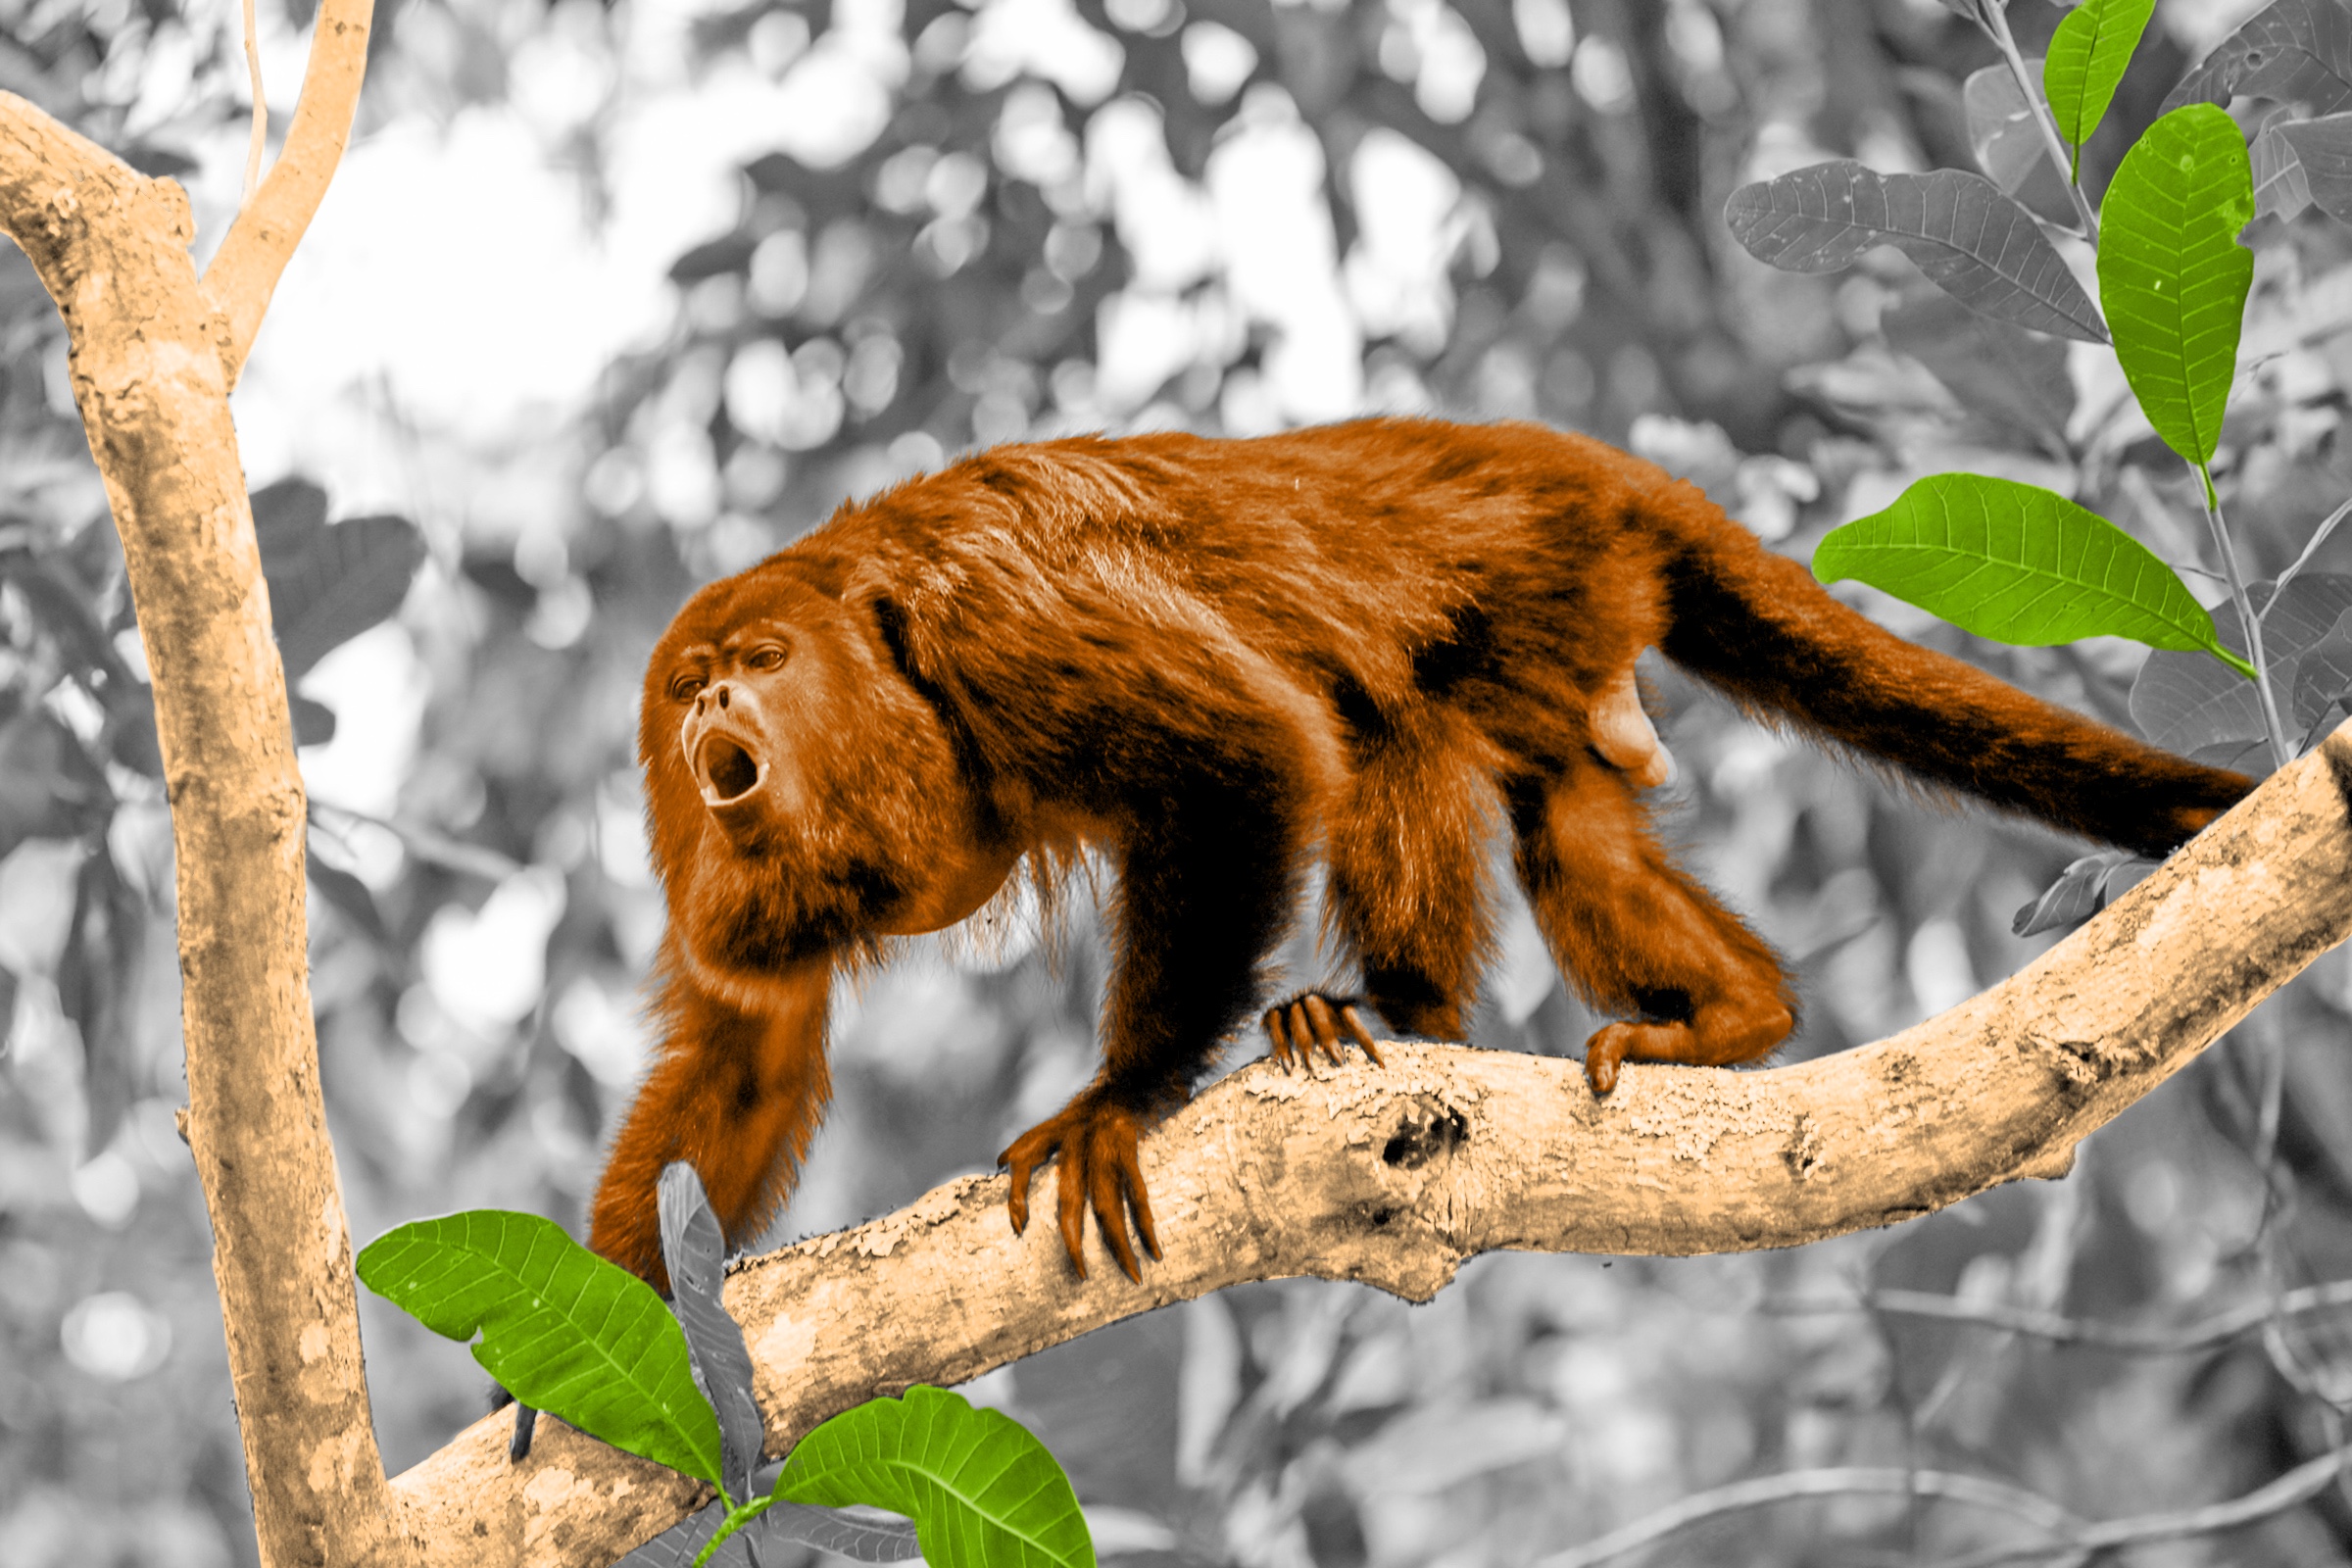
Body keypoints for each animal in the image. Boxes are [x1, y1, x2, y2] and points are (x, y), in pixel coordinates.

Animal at [582, 417, 2253, 1297]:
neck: (871, 637)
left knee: (1393, 725)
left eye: (767, 660)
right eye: (690, 683)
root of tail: (1573, 456)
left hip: (1539, 565)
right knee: (1564, 811)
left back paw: (1390, 1014)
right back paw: (1735, 1015)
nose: (713, 708)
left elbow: (1243, 753)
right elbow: (751, 1039)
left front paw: (1120, 1101)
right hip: (1578, 639)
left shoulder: (993, 618)